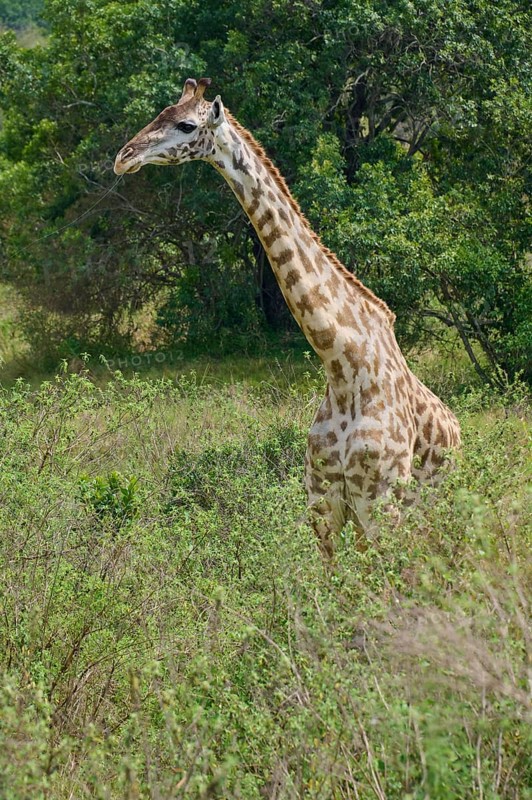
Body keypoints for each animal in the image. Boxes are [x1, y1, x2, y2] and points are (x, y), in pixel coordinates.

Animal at [114, 77, 461, 556]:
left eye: (186, 124)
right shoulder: (324, 509)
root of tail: (460, 431)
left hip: (429, 514)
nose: (123, 157)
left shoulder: (380, 506)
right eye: (160, 112)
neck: (344, 365)